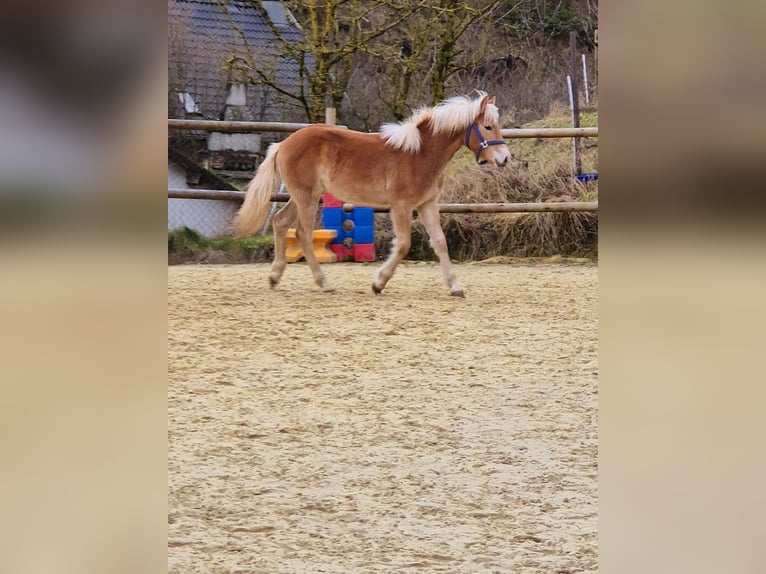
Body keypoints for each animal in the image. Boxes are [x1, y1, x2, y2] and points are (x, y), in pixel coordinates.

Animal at [234, 91, 510, 296]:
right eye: (487, 127)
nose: (505, 158)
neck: (420, 154)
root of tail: (284, 144)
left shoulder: (427, 204)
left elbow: (440, 242)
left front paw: (455, 286)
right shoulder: (401, 206)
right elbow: (403, 244)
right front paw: (378, 283)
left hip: (303, 196)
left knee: (280, 222)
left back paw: (274, 277)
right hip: (306, 197)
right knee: (302, 233)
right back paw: (324, 283)